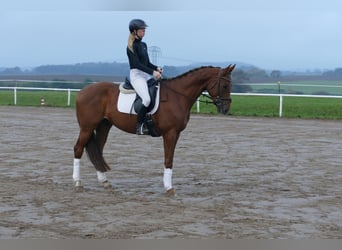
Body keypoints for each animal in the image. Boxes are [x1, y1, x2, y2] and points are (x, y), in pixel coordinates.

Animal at [72, 63, 235, 194]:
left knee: (98, 151)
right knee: (78, 149)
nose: (226, 109)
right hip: (87, 128)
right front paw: (169, 188)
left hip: (104, 126)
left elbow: (170, 158)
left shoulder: (175, 134)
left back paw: (105, 182)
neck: (178, 96)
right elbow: (168, 159)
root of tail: (83, 91)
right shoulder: (170, 133)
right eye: (225, 86)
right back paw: (78, 183)